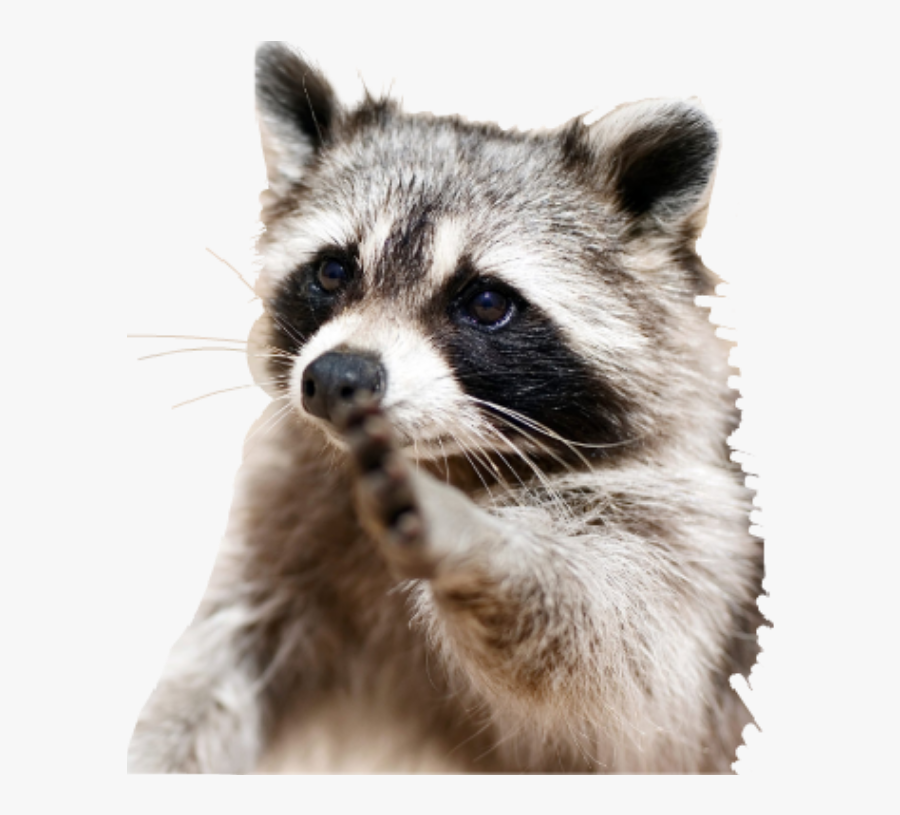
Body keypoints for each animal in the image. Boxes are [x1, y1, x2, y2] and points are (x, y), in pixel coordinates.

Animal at [128, 41, 763, 774]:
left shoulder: (694, 517)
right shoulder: (284, 502)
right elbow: (220, 658)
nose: (336, 377)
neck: (455, 458)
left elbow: (619, 652)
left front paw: (483, 541)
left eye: (486, 302)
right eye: (332, 272)